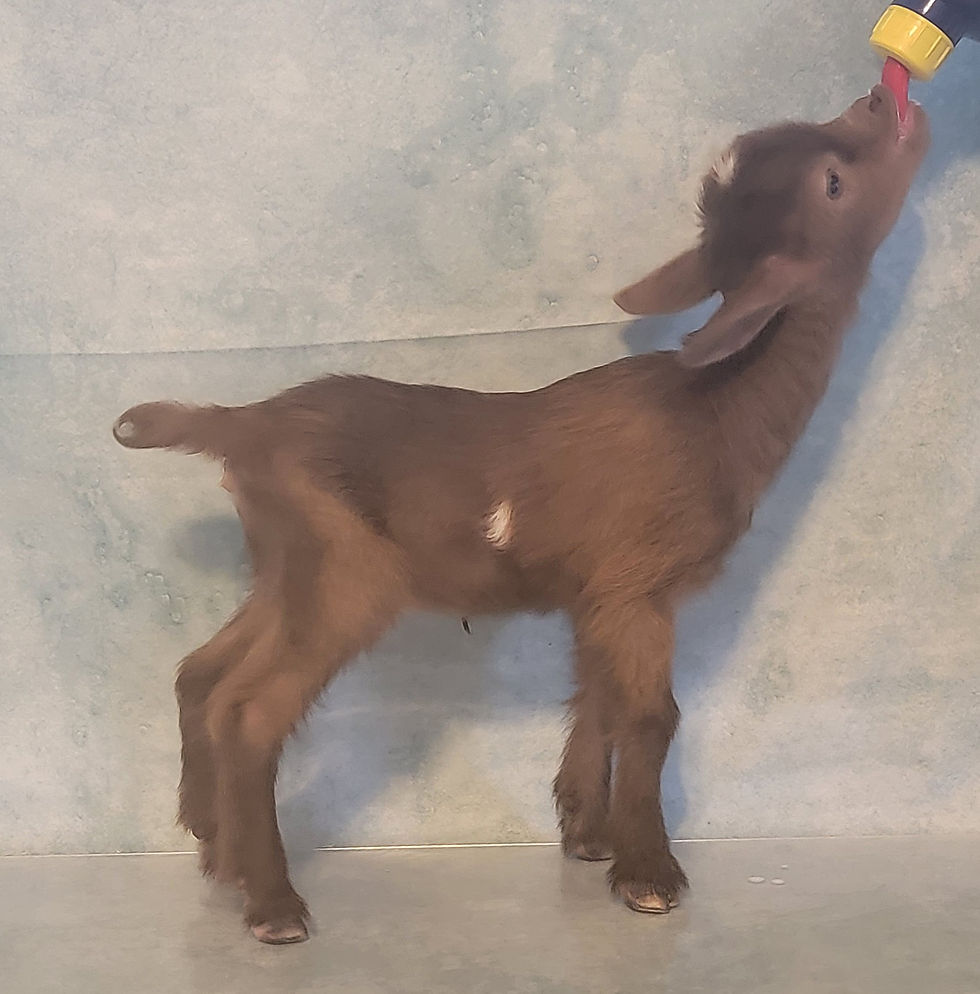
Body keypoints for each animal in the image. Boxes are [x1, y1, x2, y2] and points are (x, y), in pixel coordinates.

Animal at [112, 86, 929, 943]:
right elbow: (652, 716)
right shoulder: (639, 585)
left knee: (201, 676)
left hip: (284, 566)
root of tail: (241, 424)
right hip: (345, 573)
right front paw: (650, 875)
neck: (715, 412)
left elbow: (599, 698)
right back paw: (272, 905)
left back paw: (216, 851)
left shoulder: (599, 593)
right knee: (248, 710)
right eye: (834, 183)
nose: (881, 97)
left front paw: (588, 835)